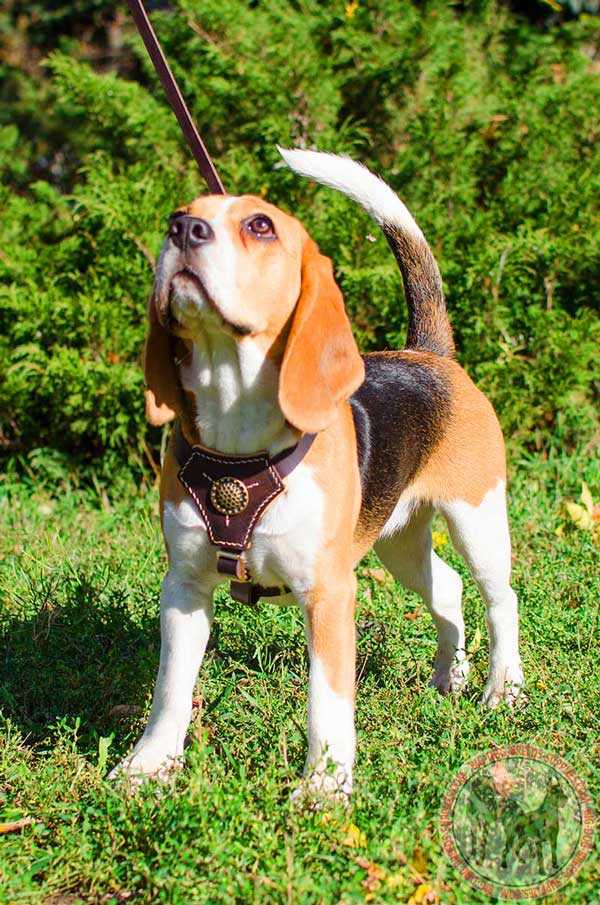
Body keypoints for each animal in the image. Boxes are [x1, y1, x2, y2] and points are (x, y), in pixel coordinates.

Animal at [113, 150, 524, 800]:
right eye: (178, 214)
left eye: (259, 226)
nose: (183, 231)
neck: (240, 445)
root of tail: (429, 353)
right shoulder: (184, 586)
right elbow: (170, 689)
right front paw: (149, 766)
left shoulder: (329, 593)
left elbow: (326, 700)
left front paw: (325, 788)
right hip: (398, 544)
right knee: (448, 588)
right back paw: (449, 676)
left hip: (477, 518)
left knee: (500, 597)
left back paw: (502, 688)